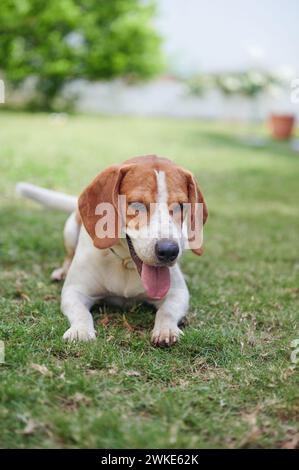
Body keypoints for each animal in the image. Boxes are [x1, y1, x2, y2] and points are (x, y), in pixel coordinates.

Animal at [17, 156, 209, 346]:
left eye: (180, 206)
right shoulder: (74, 291)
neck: (126, 263)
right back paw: (61, 272)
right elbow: (81, 312)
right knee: (68, 256)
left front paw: (166, 329)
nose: (168, 251)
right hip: (70, 229)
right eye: (137, 205)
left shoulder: (178, 293)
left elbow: (167, 311)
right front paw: (80, 331)